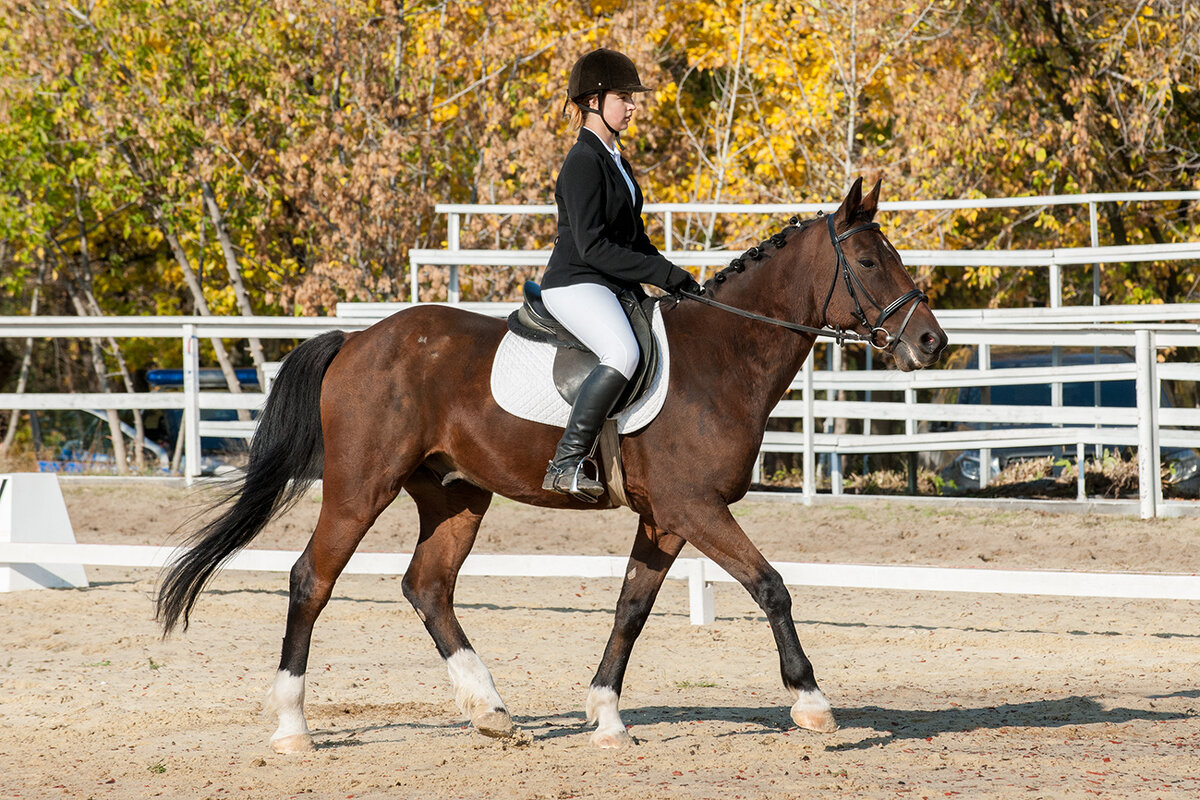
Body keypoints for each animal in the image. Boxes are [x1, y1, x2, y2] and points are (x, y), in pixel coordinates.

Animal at [157, 178, 945, 753]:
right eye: (868, 262)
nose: (931, 344)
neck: (722, 358)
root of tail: (356, 340)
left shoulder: (666, 518)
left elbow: (631, 608)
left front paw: (606, 716)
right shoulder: (695, 507)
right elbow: (771, 587)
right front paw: (811, 703)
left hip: (455, 495)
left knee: (428, 587)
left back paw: (490, 711)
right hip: (360, 487)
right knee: (310, 581)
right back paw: (293, 727)